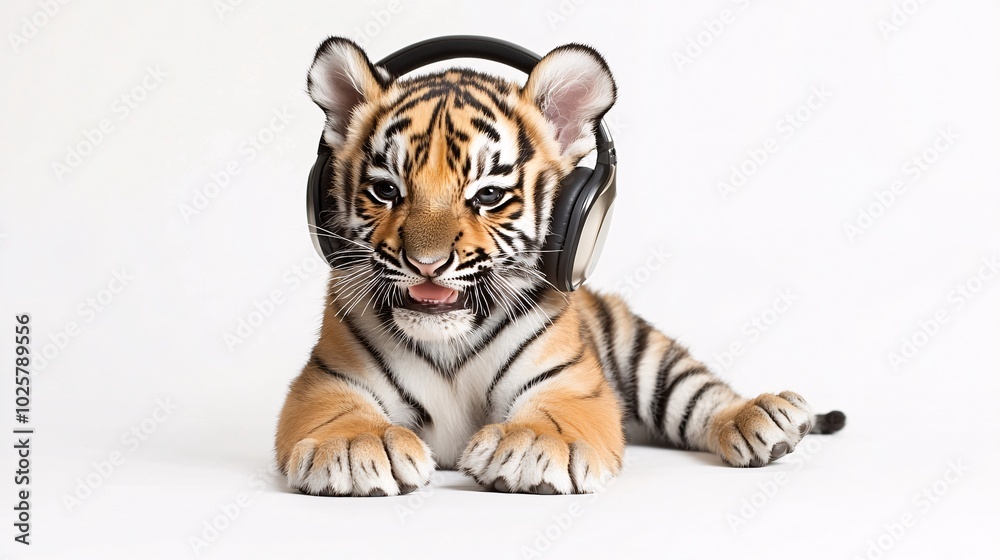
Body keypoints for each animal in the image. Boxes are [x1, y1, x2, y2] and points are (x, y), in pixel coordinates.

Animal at [275, 37, 846, 496]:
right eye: (386, 190)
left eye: (488, 196)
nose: (427, 263)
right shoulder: (326, 379)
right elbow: (342, 413)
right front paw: (356, 449)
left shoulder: (572, 382)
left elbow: (552, 414)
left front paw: (531, 445)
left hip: (647, 356)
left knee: (703, 395)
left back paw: (764, 419)